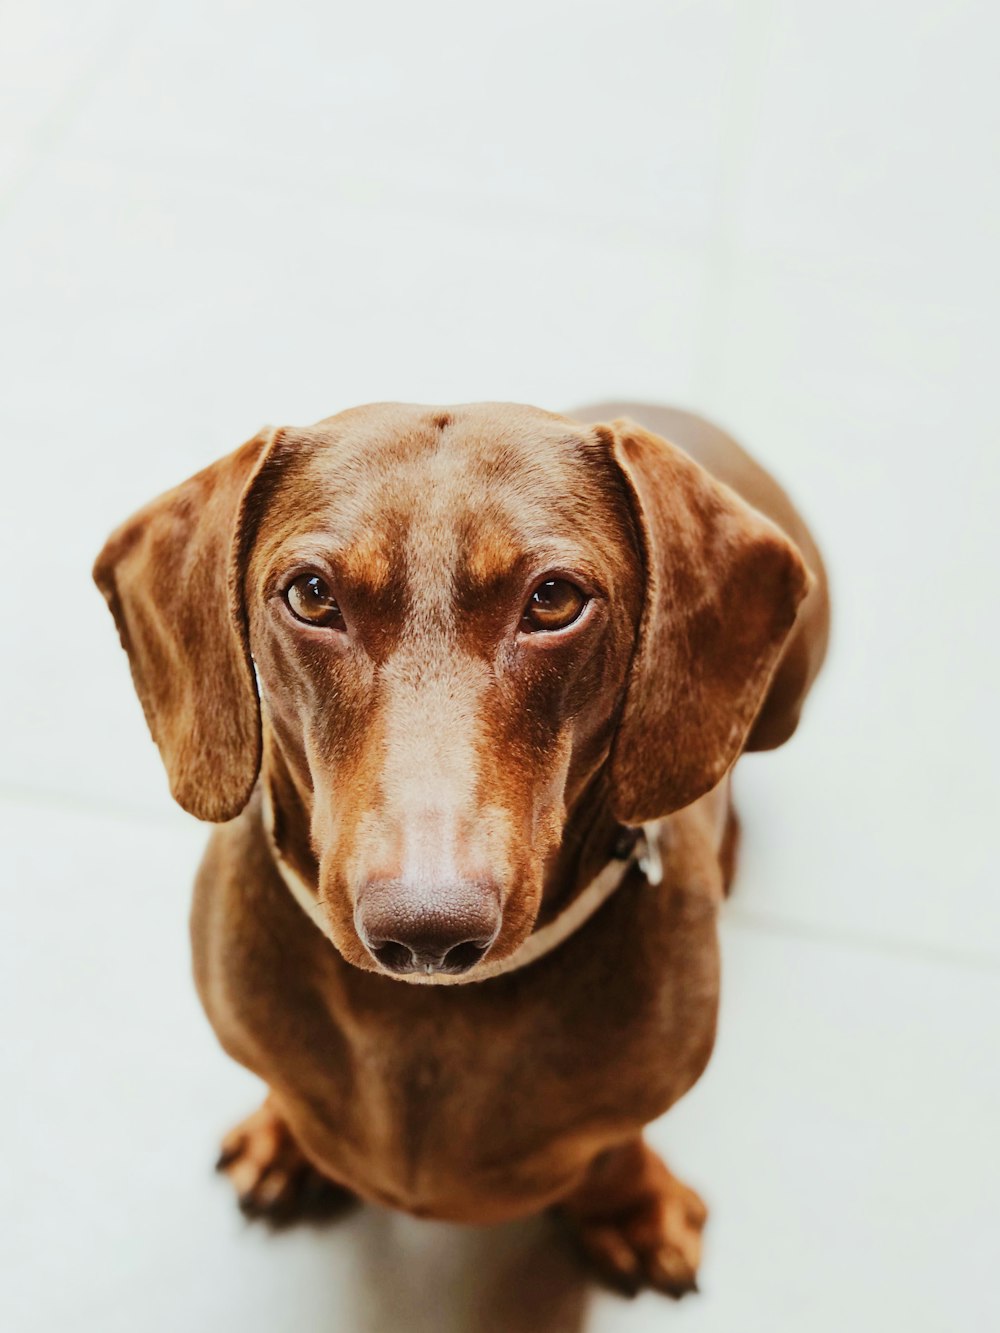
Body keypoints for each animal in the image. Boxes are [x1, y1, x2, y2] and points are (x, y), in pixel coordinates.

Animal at [94, 399, 832, 1295]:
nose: (426, 931)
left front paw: (630, 1204)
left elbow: (615, 1142)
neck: (428, 1020)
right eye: (311, 593)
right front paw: (285, 1137)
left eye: (554, 599)